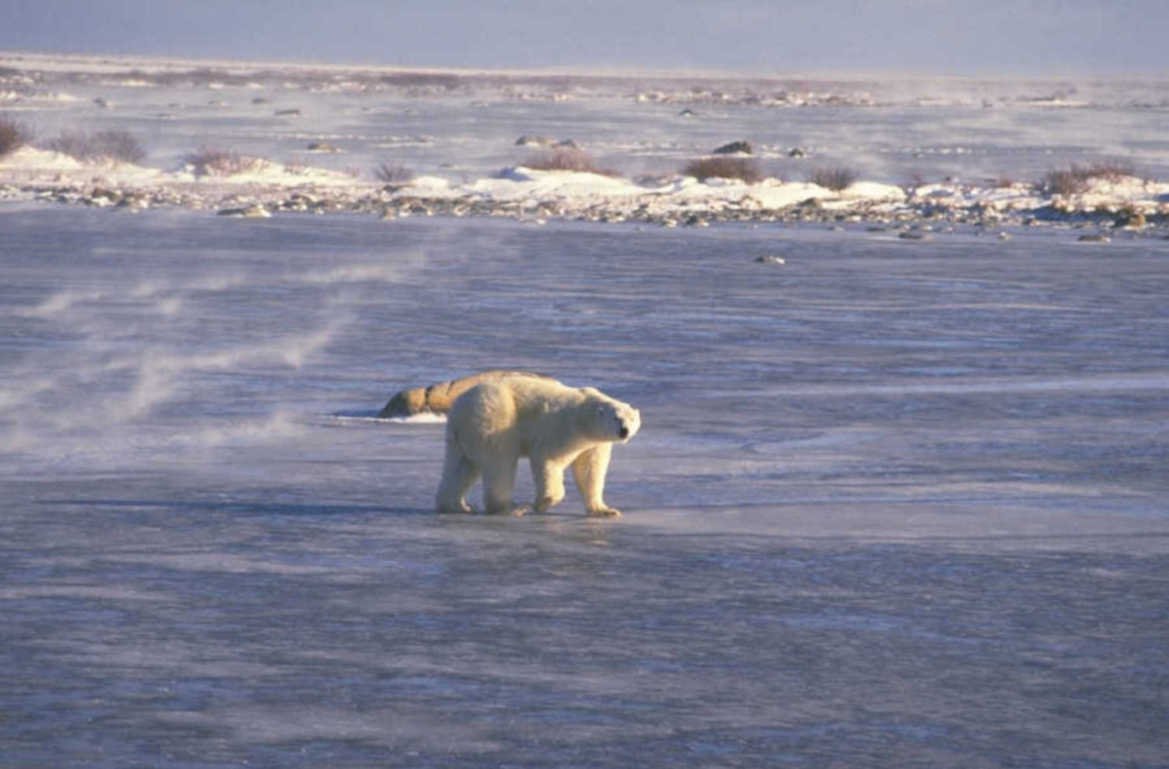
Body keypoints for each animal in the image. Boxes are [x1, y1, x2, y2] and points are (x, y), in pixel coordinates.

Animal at [435, 375, 640, 517]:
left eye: (631, 418)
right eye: (616, 418)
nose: (624, 431)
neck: (584, 416)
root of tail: (459, 407)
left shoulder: (593, 443)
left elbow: (590, 470)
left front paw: (605, 510)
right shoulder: (564, 428)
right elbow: (549, 459)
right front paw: (543, 503)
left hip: (461, 435)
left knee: (460, 466)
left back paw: (457, 506)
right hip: (496, 416)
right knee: (500, 462)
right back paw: (511, 508)